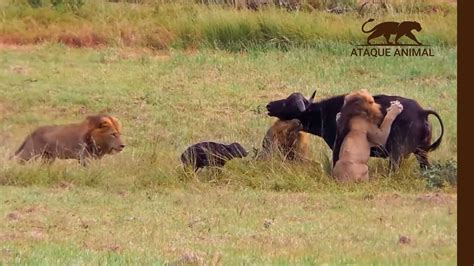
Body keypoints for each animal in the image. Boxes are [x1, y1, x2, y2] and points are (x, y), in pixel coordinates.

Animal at [266, 90, 444, 167]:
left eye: (286, 103)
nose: (269, 105)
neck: (325, 113)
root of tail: (422, 112)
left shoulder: (337, 147)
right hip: (422, 153)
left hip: (397, 154)